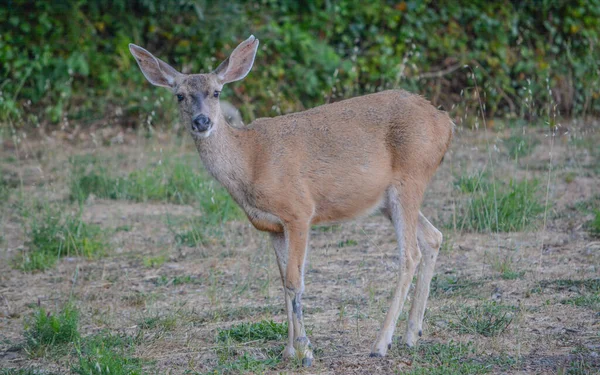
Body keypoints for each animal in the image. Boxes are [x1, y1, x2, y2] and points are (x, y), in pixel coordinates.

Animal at [129, 36, 452, 368]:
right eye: (179, 95)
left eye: (216, 92)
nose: (202, 121)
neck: (251, 161)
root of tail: (445, 122)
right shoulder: (271, 226)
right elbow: (283, 283)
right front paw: (289, 350)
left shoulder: (299, 211)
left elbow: (296, 282)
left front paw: (305, 350)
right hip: (387, 200)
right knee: (433, 237)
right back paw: (412, 334)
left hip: (410, 178)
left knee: (409, 254)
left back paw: (380, 343)